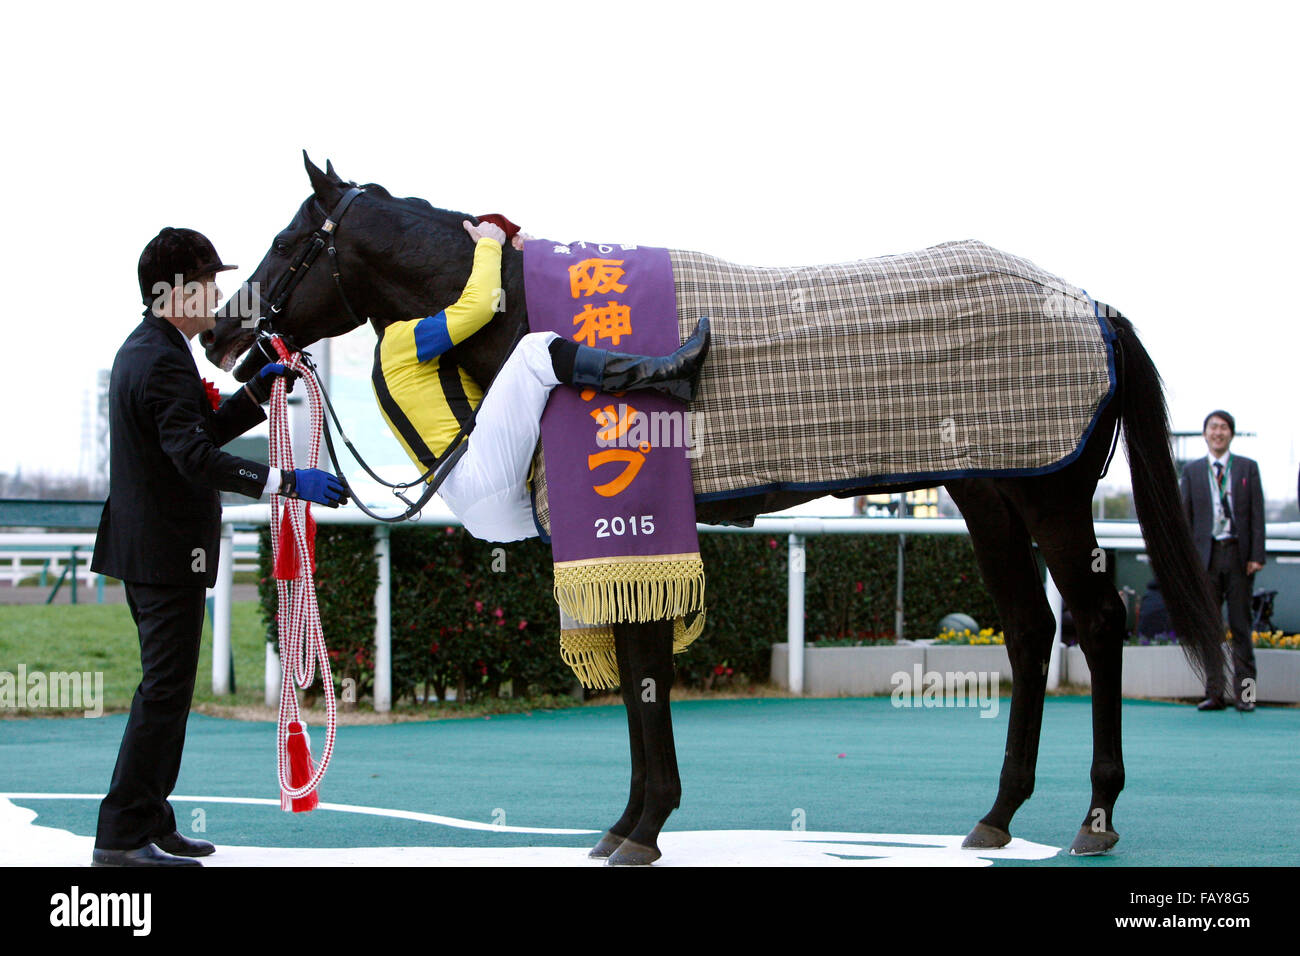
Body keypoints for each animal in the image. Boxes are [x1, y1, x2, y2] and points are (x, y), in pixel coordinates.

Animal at [205, 153, 1227, 863]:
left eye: (291, 242)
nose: (217, 333)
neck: (521, 317)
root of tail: (1091, 305)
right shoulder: (618, 540)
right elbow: (635, 668)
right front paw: (627, 822)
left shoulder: (635, 525)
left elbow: (645, 666)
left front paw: (644, 824)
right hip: (986, 493)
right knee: (1026, 629)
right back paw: (996, 816)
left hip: (1050, 494)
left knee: (1094, 620)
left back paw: (1094, 815)